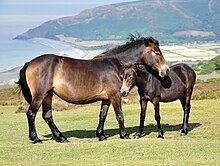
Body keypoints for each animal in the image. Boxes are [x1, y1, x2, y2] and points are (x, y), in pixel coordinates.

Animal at [18, 35, 168, 143]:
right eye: (157, 52)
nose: (165, 70)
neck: (115, 66)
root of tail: (30, 63)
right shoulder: (115, 95)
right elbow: (120, 116)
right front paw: (124, 135)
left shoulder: (106, 98)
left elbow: (102, 115)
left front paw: (101, 135)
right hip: (40, 95)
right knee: (31, 114)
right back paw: (36, 138)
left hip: (48, 95)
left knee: (47, 116)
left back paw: (61, 138)